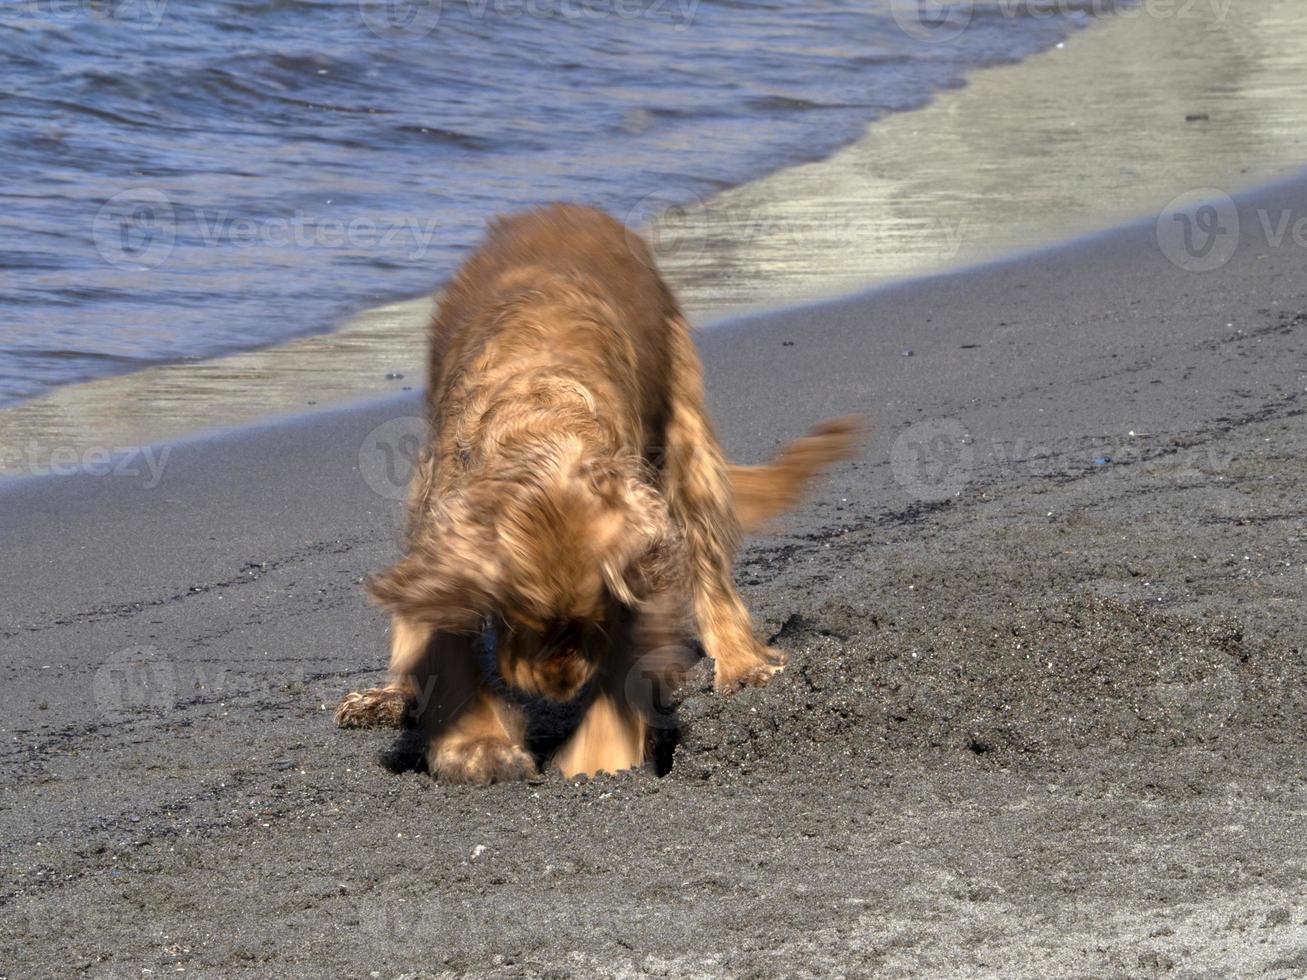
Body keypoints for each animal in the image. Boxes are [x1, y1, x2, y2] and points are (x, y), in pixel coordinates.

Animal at [337, 205, 857, 783]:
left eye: (591, 619)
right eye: (516, 617)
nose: (558, 687)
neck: (544, 418)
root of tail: (565, 209)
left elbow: (623, 672)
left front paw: (592, 760)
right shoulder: (440, 518)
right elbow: (443, 643)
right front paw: (481, 748)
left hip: (684, 428)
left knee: (708, 560)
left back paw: (742, 663)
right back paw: (385, 699)